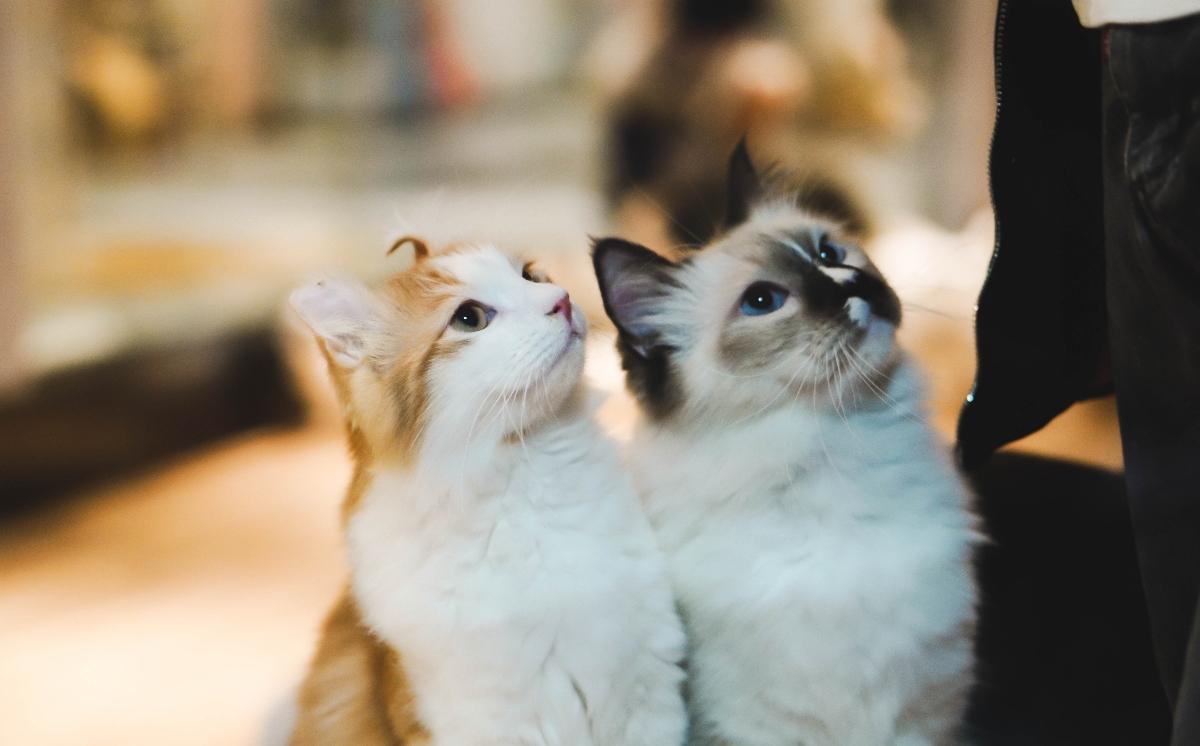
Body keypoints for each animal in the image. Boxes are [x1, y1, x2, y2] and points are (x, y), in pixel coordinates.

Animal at [590, 143, 974, 743]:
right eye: (764, 300)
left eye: (829, 252)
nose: (852, 285)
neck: (839, 451)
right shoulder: (755, 726)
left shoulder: (925, 718)